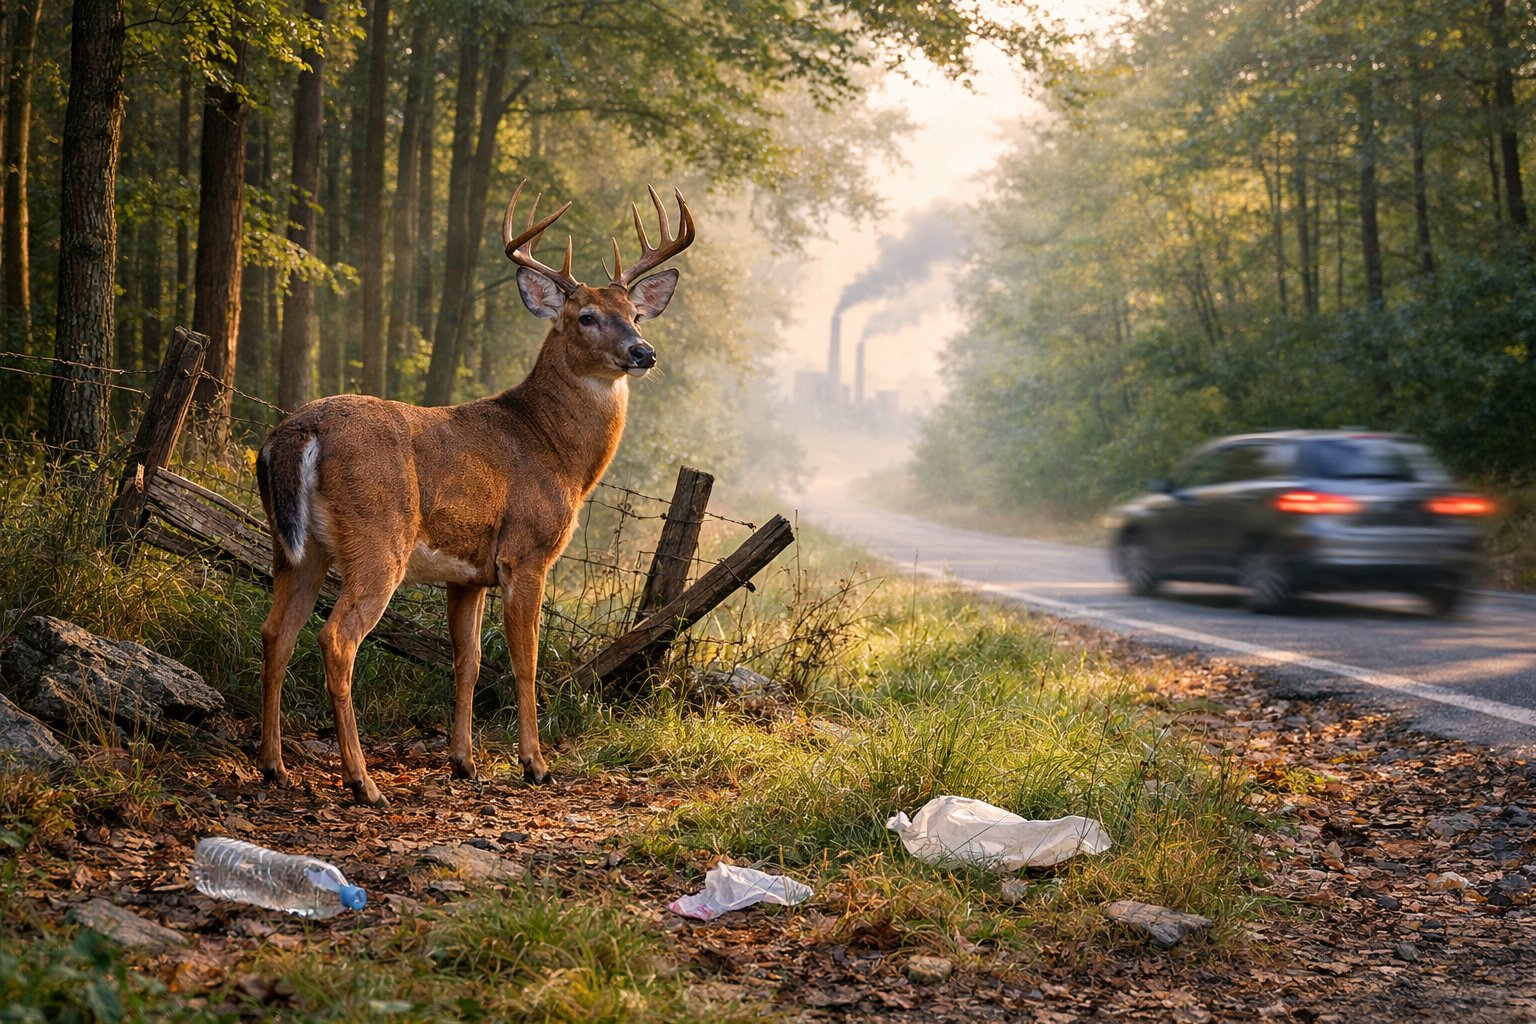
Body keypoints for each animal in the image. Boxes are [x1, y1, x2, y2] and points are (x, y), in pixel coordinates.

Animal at [253, 182, 695, 806]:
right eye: (586, 317)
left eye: (633, 314)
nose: (643, 351)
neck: (554, 451)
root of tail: (298, 430)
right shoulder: (526, 551)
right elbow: (523, 662)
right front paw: (535, 764)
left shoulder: (468, 574)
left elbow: (469, 659)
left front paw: (464, 762)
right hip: (377, 538)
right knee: (336, 639)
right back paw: (362, 781)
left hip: (294, 547)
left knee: (277, 632)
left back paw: (274, 766)